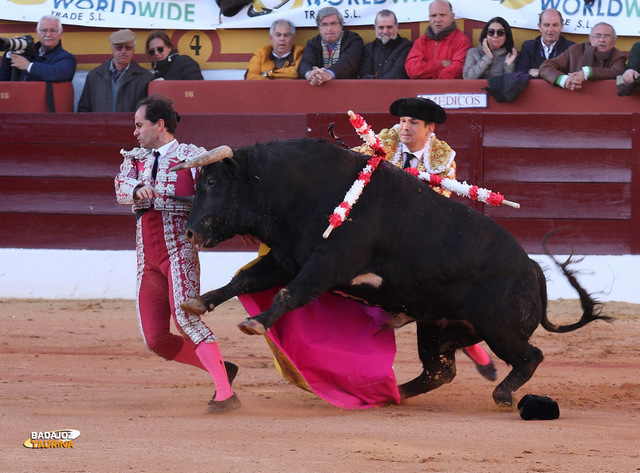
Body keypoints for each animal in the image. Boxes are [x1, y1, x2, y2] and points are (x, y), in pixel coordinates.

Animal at [171, 136, 608, 406]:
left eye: (212, 182)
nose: (190, 231)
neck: (302, 190)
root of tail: (531, 267)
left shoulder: (328, 262)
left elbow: (289, 293)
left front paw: (255, 323)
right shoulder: (286, 258)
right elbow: (245, 279)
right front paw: (198, 302)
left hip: (500, 328)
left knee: (530, 356)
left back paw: (501, 395)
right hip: (437, 327)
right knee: (439, 371)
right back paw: (390, 394)